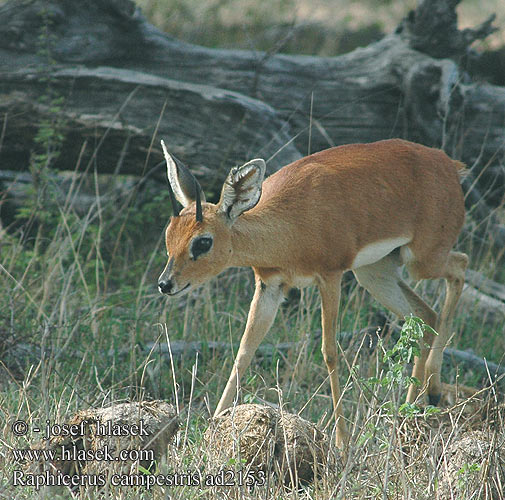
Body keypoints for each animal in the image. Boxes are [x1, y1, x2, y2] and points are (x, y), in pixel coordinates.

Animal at [158, 138, 468, 450]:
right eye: (169, 234)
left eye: (203, 242)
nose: (165, 283)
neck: (291, 228)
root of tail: (449, 165)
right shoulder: (270, 285)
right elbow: (244, 351)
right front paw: (210, 430)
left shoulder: (330, 276)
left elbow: (329, 352)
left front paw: (342, 443)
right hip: (374, 273)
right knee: (425, 316)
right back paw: (408, 415)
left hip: (422, 261)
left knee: (460, 266)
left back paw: (432, 392)